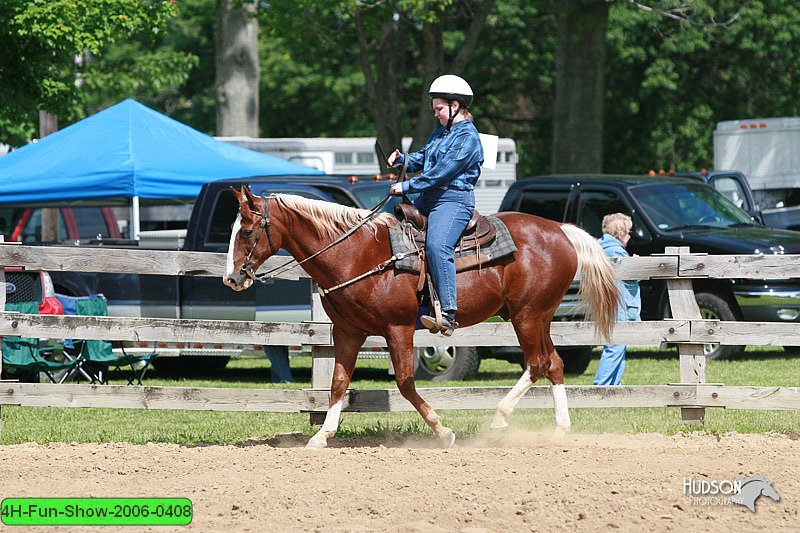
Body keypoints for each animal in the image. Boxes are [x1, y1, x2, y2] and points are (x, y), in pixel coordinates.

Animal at [225, 187, 620, 448]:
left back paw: (498, 419)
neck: (356, 253)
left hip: (527, 315)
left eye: (247, 231)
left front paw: (443, 431)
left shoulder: (397, 329)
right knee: (554, 363)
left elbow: (404, 382)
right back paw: (560, 429)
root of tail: (561, 231)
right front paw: (323, 435)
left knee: (536, 363)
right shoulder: (348, 332)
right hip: (539, 317)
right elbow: (338, 383)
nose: (232, 279)